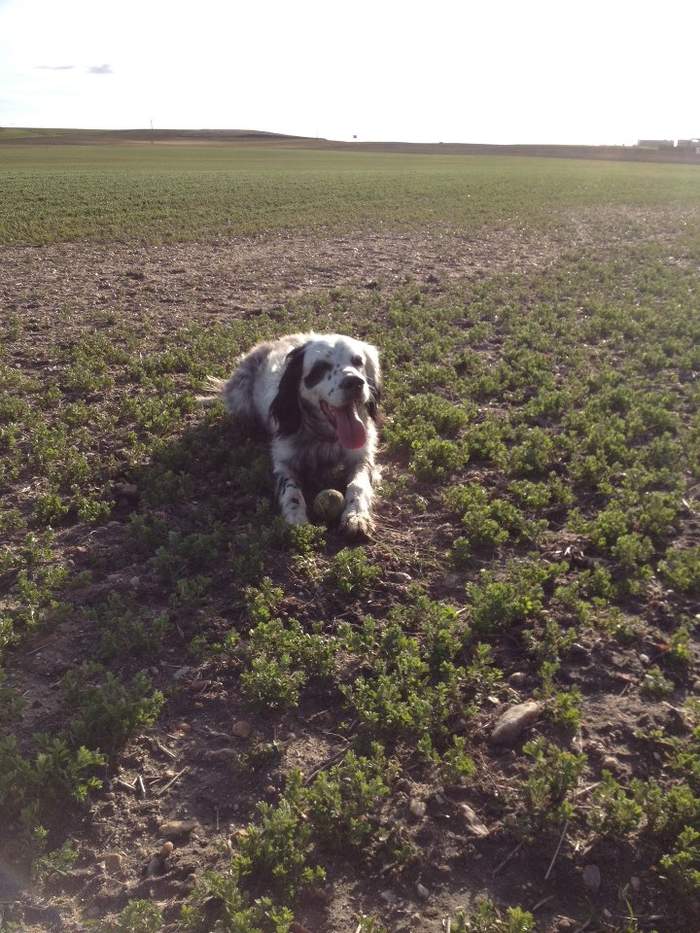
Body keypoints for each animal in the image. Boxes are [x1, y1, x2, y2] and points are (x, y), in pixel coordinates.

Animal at [207, 333, 381, 537]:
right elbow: (291, 491)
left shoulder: (361, 457)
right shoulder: (283, 462)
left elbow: (358, 485)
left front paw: (356, 515)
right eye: (320, 367)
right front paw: (296, 518)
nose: (355, 382)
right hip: (241, 398)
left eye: (358, 361)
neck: (324, 436)